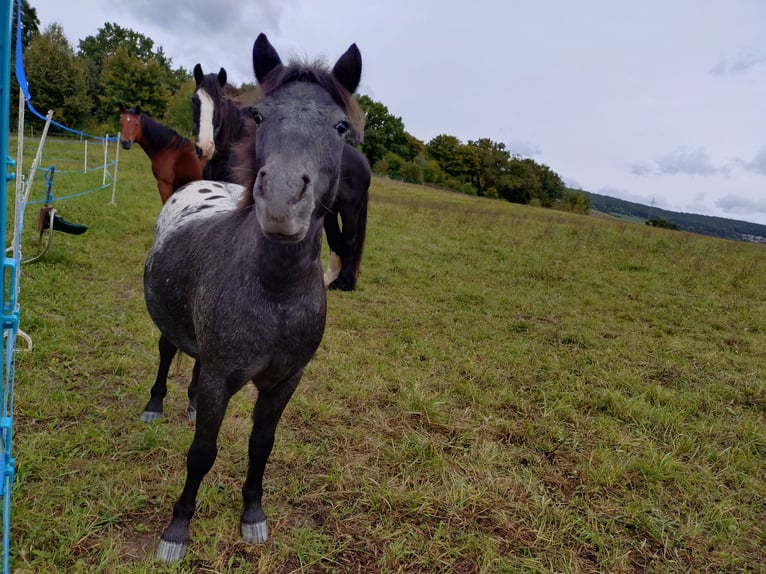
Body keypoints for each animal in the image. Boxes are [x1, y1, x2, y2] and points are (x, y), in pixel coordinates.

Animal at [192, 64, 370, 291]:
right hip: (329, 211)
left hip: (349, 211)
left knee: (348, 241)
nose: (204, 147)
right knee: (336, 241)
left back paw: (345, 283)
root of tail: (363, 161)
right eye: (195, 100)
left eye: (221, 101)